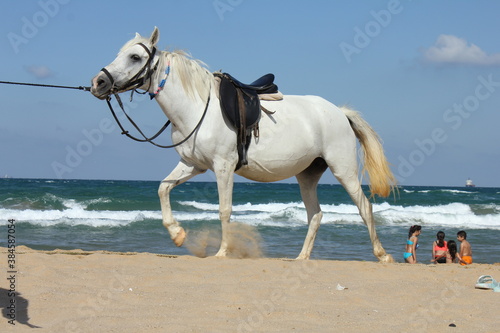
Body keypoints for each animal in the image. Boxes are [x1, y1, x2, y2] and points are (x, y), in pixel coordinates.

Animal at [89, 27, 394, 260]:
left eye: (135, 56)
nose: (98, 82)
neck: (198, 108)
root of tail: (339, 112)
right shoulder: (192, 165)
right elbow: (163, 189)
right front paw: (177, 235)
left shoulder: (223, 167)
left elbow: (224, 210)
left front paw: (222, 252)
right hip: (307, 175)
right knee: (315, 215)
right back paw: (301, 257)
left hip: (343, 169)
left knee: (364, 207)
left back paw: (382, 255)